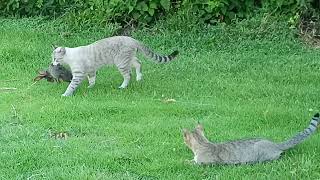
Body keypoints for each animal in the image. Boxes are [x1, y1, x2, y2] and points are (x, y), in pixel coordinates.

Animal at [51, 35, 179, 96]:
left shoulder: (78, 74)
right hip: (129, 59)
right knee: (139, 63)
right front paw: (90, 87)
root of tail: (133, 39)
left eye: (55, 58)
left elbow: (71, 85)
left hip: (121, 62)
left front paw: (65, 95)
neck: (69, 57)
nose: (52, 63)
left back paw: (123, 86)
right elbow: (92, 79)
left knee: (128, 75)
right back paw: (139, 78)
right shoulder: (91, 70)